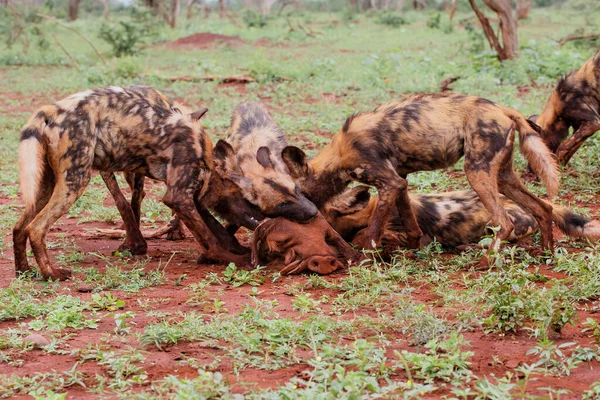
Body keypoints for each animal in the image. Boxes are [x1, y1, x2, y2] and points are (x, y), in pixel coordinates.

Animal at [13, 86, 260, 280]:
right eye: (250, 199)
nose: (263, 218)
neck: (205, 156)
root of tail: (50, 109)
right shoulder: (179, 197)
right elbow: (209, 237)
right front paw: (230, 259)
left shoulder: (189, 198)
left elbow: (216, 229)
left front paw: (236, 248)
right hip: (75, 182)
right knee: (36, 228)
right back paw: (51, 275)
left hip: (46, 186)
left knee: (19, 228)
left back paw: (24, 271)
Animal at [284, 92, 560, 258]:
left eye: (298, 193)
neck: (340, 153)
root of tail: (503, 109)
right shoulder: (400, 182)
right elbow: (411, 225)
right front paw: (412, 251)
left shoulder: (389, 183)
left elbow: (372, 232)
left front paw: (365, 258)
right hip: (502, 177)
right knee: (543, 208)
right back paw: (547, 252)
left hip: (476, 173)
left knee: (504, 222)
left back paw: (486, 262)